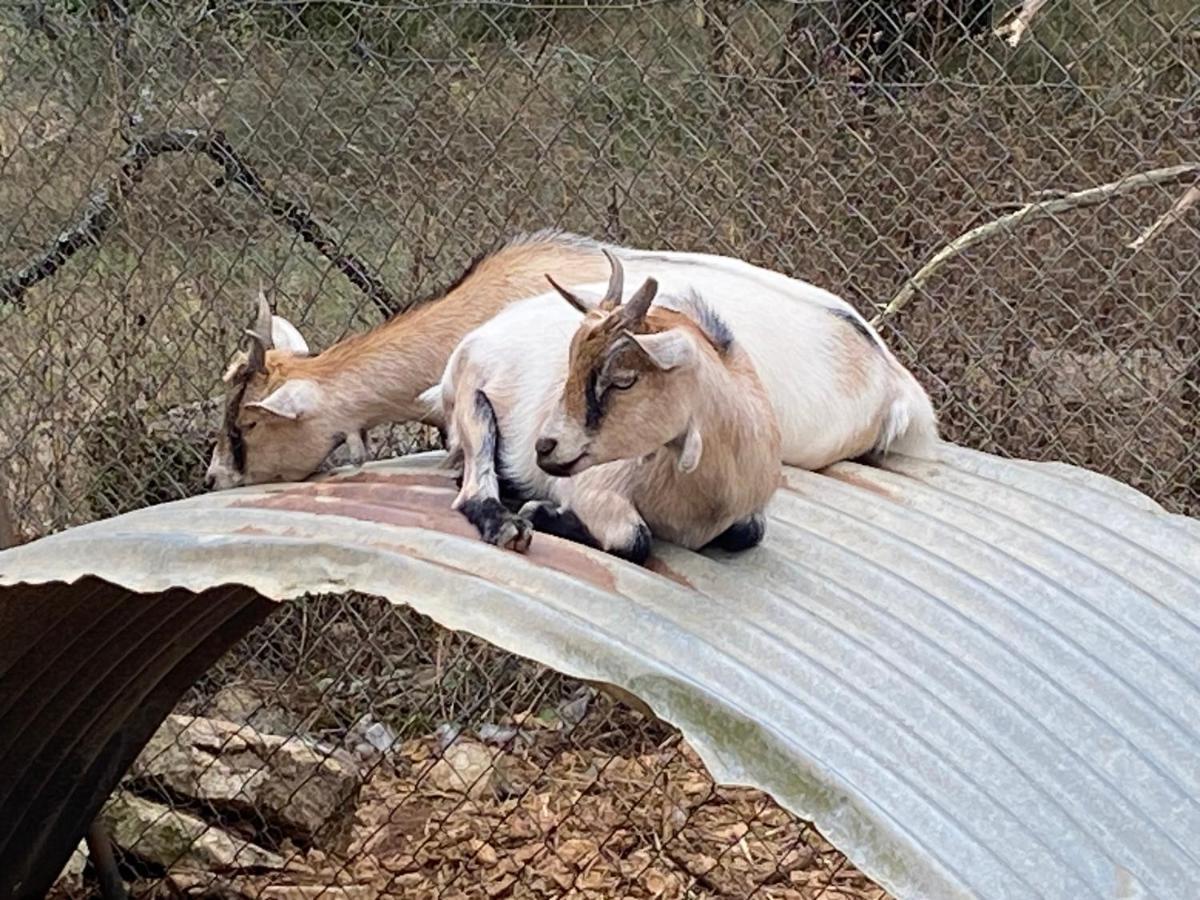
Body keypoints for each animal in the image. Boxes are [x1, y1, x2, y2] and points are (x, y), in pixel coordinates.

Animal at [427, 254, 782, 564]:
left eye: (623, 381)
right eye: (570, 364)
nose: (544, 447)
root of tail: (476, 338)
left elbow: (751, 531)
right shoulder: (595, 489)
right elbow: (634, 539)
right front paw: (539, 511)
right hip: (473, 405)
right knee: (473, 487)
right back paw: (509, 527)